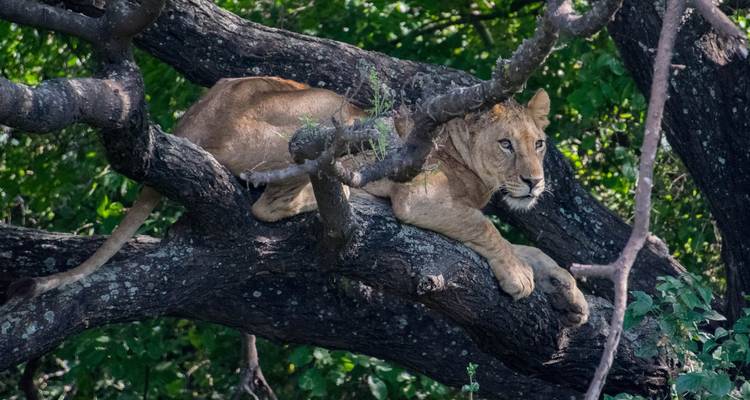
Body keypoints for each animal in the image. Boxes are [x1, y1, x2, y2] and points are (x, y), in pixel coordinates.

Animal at [10, 77, 588, 327]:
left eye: (539, 143)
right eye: (506, 144)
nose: (535, 183)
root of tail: (188, 120)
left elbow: (537, 249)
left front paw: (572, 295)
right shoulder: (419, 200)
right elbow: (486, 229)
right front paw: (519, 277)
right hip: (316, 116)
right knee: (270, 204)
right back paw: (351, 199)